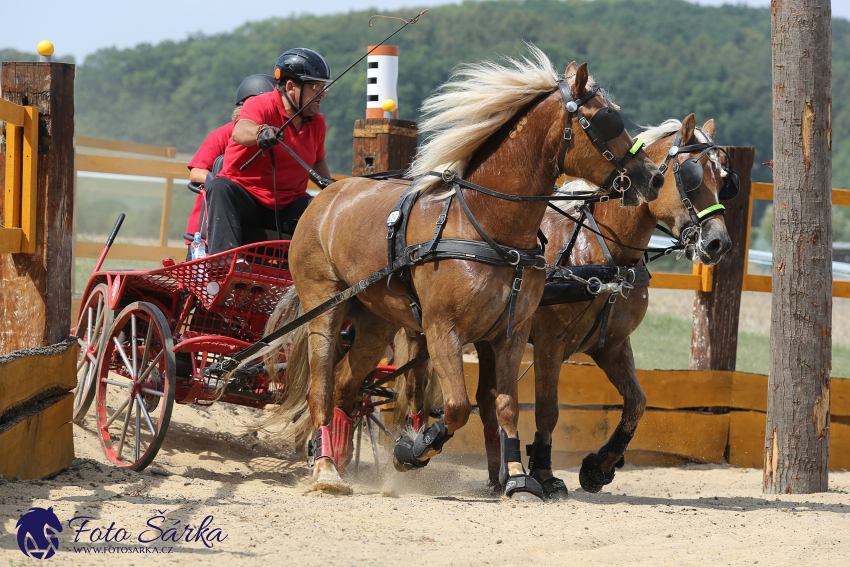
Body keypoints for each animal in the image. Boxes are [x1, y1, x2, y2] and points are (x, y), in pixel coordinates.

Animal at [268, 45, 660, 496]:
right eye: (607, 120)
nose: (653, 177)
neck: (487, 225)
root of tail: (327, 193)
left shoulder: (511, 333)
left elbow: (505, 405)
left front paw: (517, 476)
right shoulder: (443, 330)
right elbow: (456, 407)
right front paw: (413, 450)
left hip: (375, 322)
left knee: (348, 388)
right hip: (325, 308)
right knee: (322, 387)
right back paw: (326, 469)